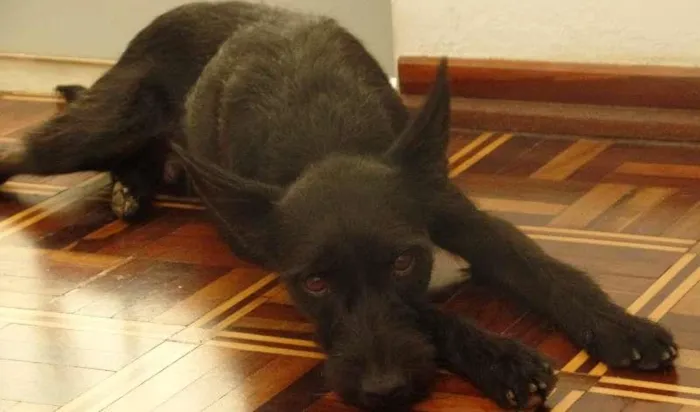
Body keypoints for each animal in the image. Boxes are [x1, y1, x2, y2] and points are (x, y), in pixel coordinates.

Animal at [0, 2, 678, 410]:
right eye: (315, 283)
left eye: (404, 263)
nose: (383, 390)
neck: (324, 136)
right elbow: (428, 315)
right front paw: (502, 357)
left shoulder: (451, 212)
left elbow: (538, 266)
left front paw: (620, 326)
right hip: (101, 125)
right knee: (24, 149)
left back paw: (133, 188)